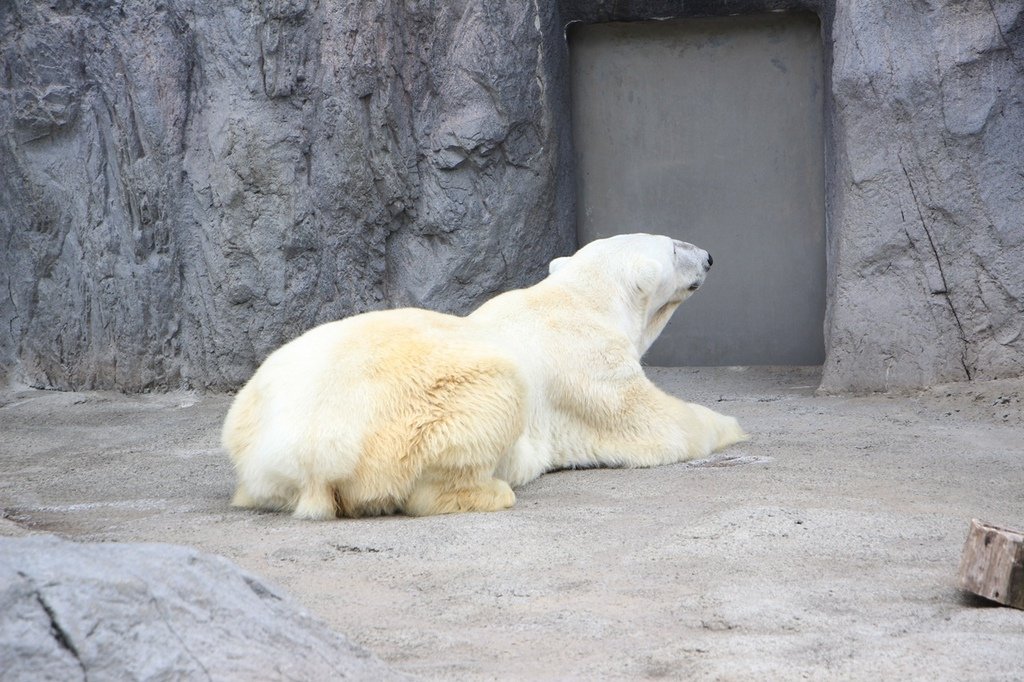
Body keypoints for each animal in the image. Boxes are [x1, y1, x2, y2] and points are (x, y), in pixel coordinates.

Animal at [222, 231, 745, 518]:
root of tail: (304, 452)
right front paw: (730, 426)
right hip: (423, 410)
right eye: (673, 248)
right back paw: (491, 491)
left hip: (258, 405)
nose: (709, 256)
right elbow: (651, 423)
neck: (578, 298)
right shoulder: (590, 364)